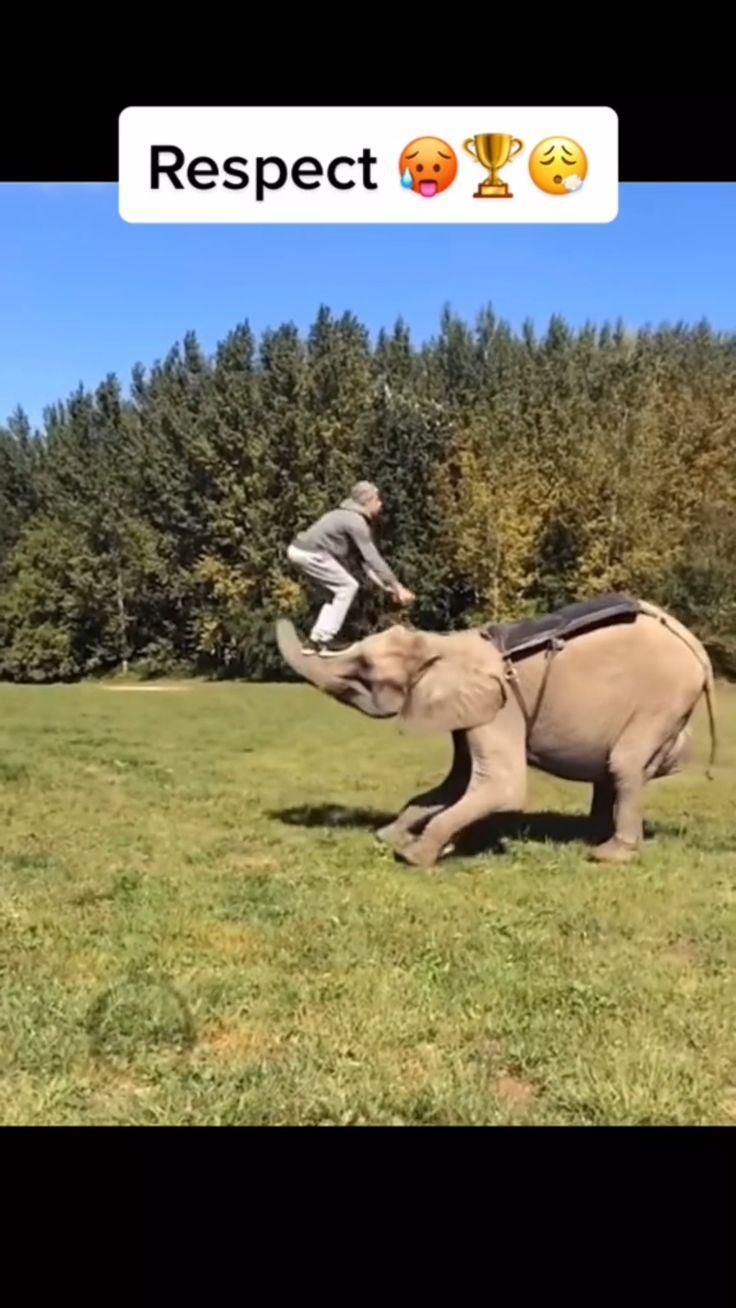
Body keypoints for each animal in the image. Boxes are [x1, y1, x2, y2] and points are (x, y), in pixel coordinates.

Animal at [274, 596, 716, 868]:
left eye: (363, 672)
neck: (444, 643)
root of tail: (700, 654)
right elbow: (454, 784)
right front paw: (388, 837)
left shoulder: (501, 710)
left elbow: (501, 787)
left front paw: (414, 856)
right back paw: (593, 838)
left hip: (663, 700)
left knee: (623, 765)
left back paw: (607, 855)